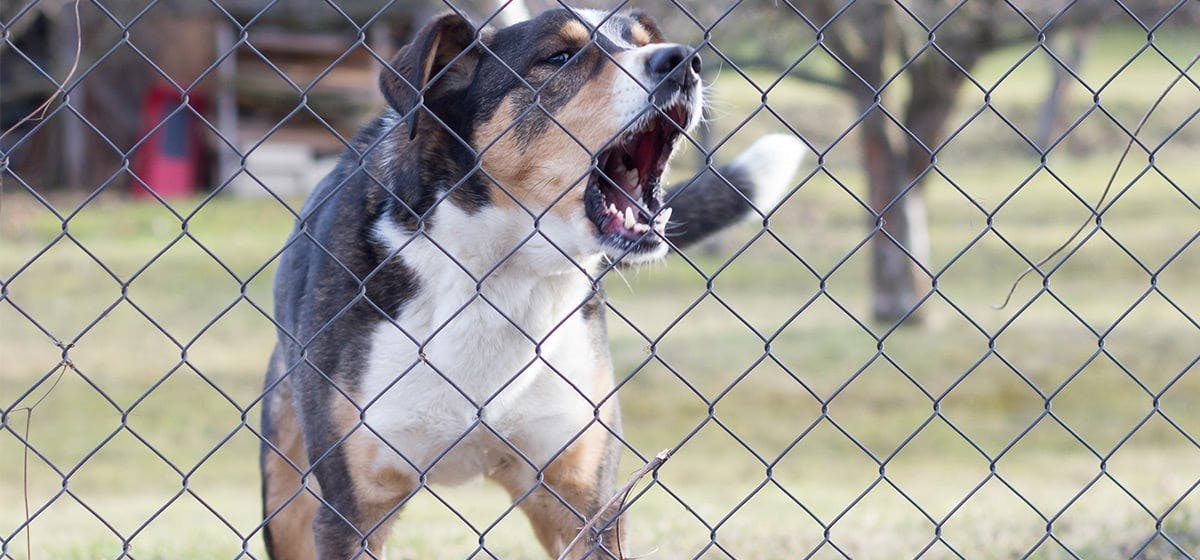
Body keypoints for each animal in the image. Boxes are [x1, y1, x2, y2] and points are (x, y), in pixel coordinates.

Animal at [261, 6, 806, 558]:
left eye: (640, 42)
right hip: (287, 500)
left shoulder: (585, 498)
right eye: (559, 58)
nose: (683, 61)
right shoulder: (353, 511)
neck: (499, 275)